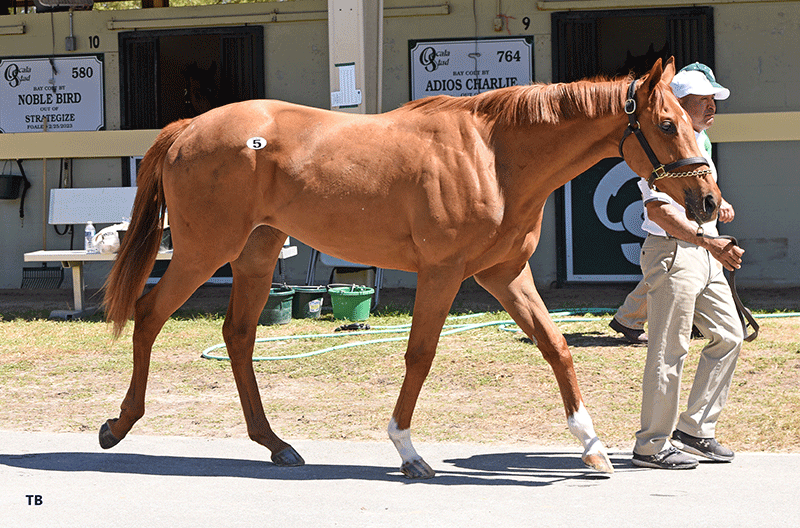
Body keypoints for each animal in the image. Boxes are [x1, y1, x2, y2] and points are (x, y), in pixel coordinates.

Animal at [100, 58, 720, 478]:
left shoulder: (504, 274)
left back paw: (274, 443)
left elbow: (556, 347)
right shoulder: (443, 273)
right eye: (668, 124)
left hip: (257, 250)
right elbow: (420, 355)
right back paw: (118, 425)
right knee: (149, 314)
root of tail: (188, 127)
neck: (494, 156)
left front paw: (591, 447)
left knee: (238, 335)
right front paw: (406, 449)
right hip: (206, 250)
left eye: (689, 122)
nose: (709, 203)